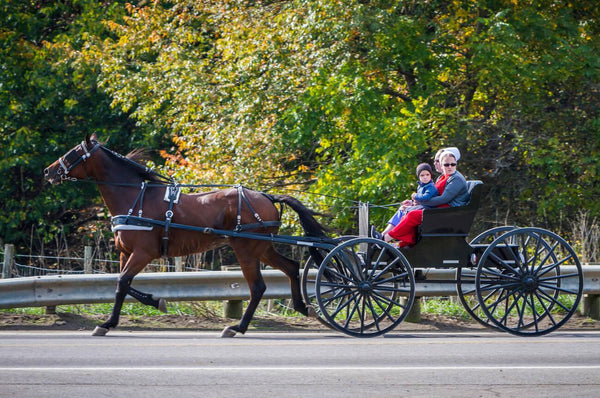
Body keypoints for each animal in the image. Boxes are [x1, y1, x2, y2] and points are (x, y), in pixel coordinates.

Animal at [43, 134, 328, 336]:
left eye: (74, 152)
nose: (48, 171)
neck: (136, 198)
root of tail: (266, 197)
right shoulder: (126, 252)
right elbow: (122, 283)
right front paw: (155, 301)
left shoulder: (143, 253)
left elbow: (122, 283)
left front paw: (108, 322)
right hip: (263, 248)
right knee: (291, 267)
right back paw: (302, 307)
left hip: (246, 249)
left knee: (257, 286)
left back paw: (238, 327)